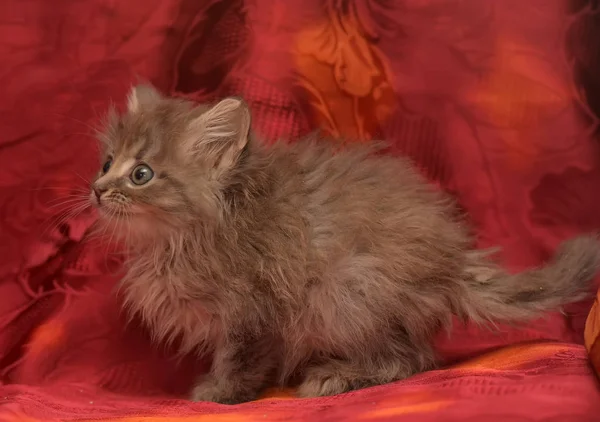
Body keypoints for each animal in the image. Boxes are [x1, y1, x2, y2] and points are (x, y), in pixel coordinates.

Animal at [90, 84, 600, 404]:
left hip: (345, 290)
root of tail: (453, 261)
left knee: (414, 359)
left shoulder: (252, 310)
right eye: (107, 162)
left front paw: (220, 393)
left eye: (141, 174)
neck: (184, 236)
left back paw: (337, 376)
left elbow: (238, 358)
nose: (96, 190)